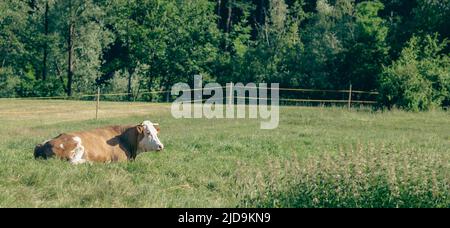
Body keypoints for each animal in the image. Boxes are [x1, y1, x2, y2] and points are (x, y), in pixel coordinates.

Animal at [33, 119, 163, 164]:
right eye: (148, 133)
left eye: (156, 133)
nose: (161, 146)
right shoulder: (120, 160)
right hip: (78, 146)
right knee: (73, 162)